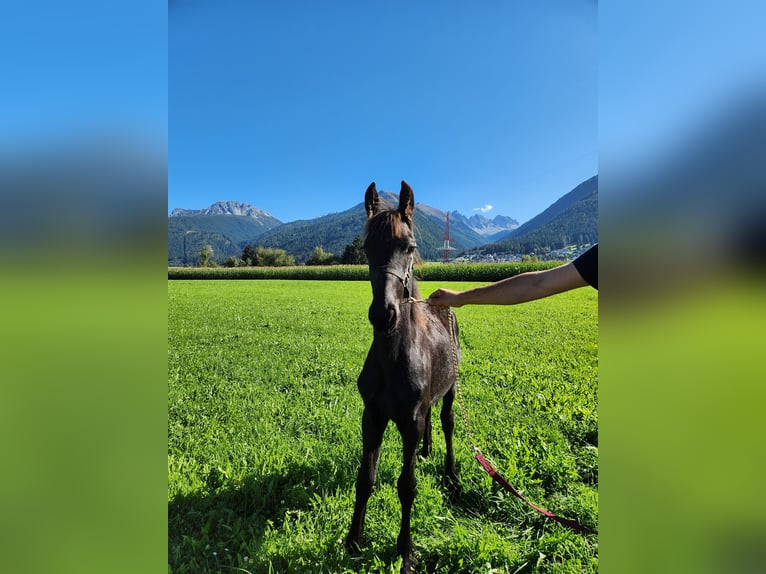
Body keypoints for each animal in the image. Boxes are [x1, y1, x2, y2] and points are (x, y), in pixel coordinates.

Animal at [346, 181, 460, 574]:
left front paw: (405, 550)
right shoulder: (373, 417)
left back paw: (451, 474)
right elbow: (365, 478)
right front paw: (353, 540)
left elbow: (406, 486)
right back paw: (427, 452)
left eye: (409, 247)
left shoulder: (409, 421)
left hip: (452, 390)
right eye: (367, 247)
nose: (384, 315)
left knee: (447, 423)